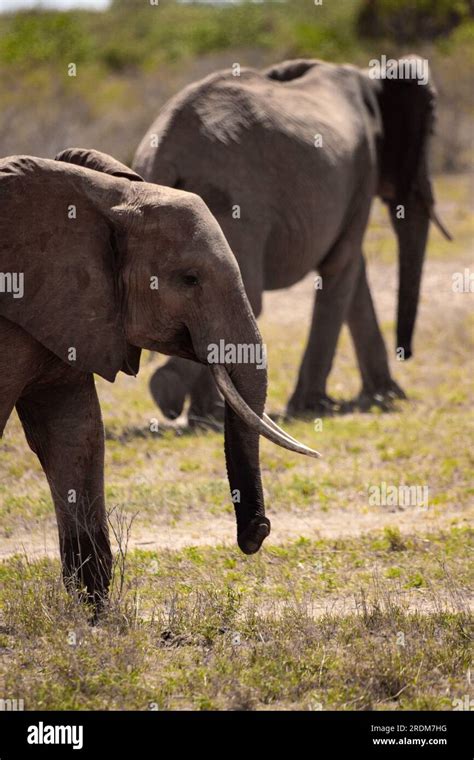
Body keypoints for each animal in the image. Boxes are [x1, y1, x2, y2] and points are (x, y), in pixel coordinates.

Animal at [0, 151, 318, 608]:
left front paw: (95, 615)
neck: (103, 197)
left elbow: (74, 433)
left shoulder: (70, 311)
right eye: (190, 279)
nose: (258, 532)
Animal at [134, 53, 452, 422]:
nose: (408, 353)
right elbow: (342, 264)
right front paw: (315, 405)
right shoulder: (363, 166)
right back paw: (179, 397)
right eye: (431, 129)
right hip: (233, 204)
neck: (371, 76)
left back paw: (199, 411)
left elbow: (353, 269)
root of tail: (163, 150)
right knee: (238, 295)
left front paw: (384, 396)